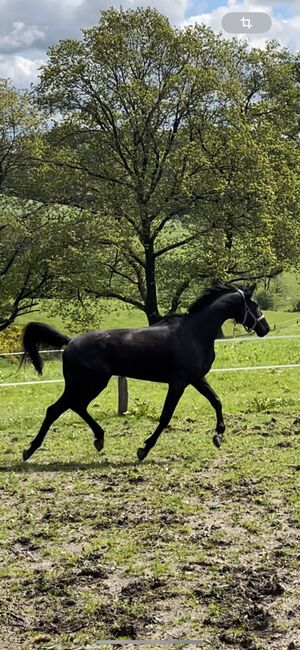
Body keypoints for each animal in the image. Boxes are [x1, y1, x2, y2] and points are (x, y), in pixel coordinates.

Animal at [21, 284, 270, 460]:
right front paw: (144, 449)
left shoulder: (196, 378)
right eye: (255, 304)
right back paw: (29, 450)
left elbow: (216, 400)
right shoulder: (178, 382)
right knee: (57, 409)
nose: (264, 328)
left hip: (87, 385)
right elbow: (166, 416)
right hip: (89, 383)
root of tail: (70, 342)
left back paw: (98, 439)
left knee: (74, 407)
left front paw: (218, 435)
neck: (194, 333)